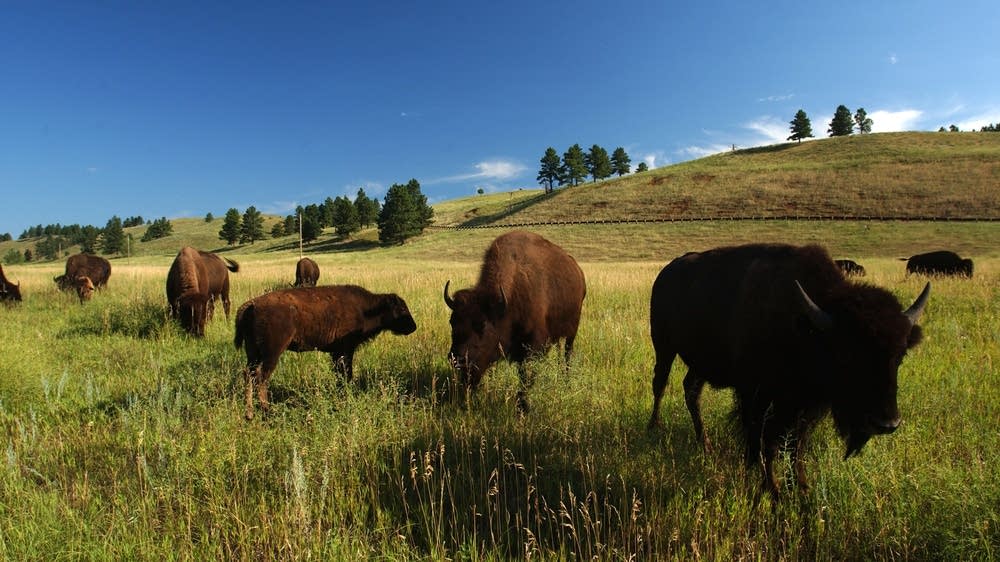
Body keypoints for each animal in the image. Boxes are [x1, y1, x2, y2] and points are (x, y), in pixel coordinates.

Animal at [234, 285, 417, 419]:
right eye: (401, 309)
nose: (413, 327)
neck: (367, 308)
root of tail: (251, 305)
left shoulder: (337, 353)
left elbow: (340, 375)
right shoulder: (345, 351)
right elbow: (346, 374)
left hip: (253, 353)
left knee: (248, 374)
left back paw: (249, 414)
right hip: (271, 353)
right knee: (261, 377)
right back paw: (267, 411)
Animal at [443, 230, 586, 411]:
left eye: (483, 325)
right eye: (452, 322)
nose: (458, 359)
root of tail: (578, 272)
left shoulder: (532, 348)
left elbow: (525, 377)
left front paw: (523, 407)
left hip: (571, 333)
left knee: (567, 355)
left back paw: (565, 381)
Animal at [647, 243, 930, 496]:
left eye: (900, 355)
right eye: (847, 353)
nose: (886, 423)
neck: (805, 326)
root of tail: (665, 273)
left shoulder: (803, 403)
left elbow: (796, 443)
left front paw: (801, 486)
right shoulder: (756, 394)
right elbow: (764, 438)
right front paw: (771, 488)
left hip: (699, 363)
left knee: (691, 391)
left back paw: (705, 444)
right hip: (664, 346)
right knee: (660, 384)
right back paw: (655, 426)